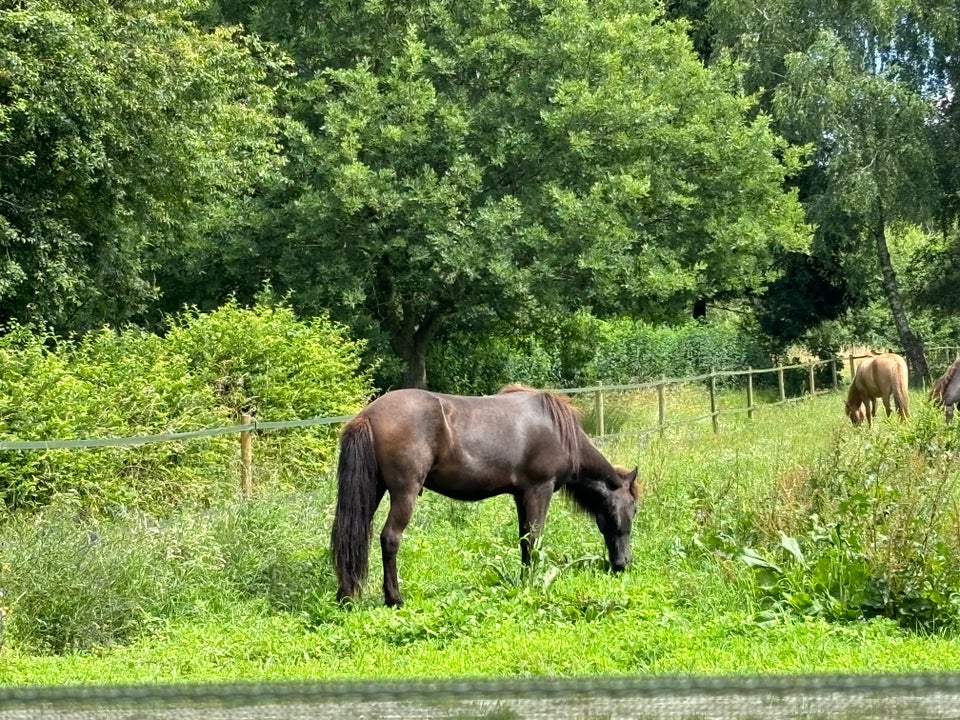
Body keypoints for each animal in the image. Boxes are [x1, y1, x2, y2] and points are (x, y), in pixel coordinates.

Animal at [330, 386, 636, 604]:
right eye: (633, 509)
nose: (623, 563)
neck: (556, 429)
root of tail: (368, 415)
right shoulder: (540, 489)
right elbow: (534, 539)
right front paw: (534, 581)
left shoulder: (521, 495)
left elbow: (524, 539)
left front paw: (524, 579)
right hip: (405, 493)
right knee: (390, 538)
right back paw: (394, 598)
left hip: (373, 491)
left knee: (351, 536)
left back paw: (346, 595)